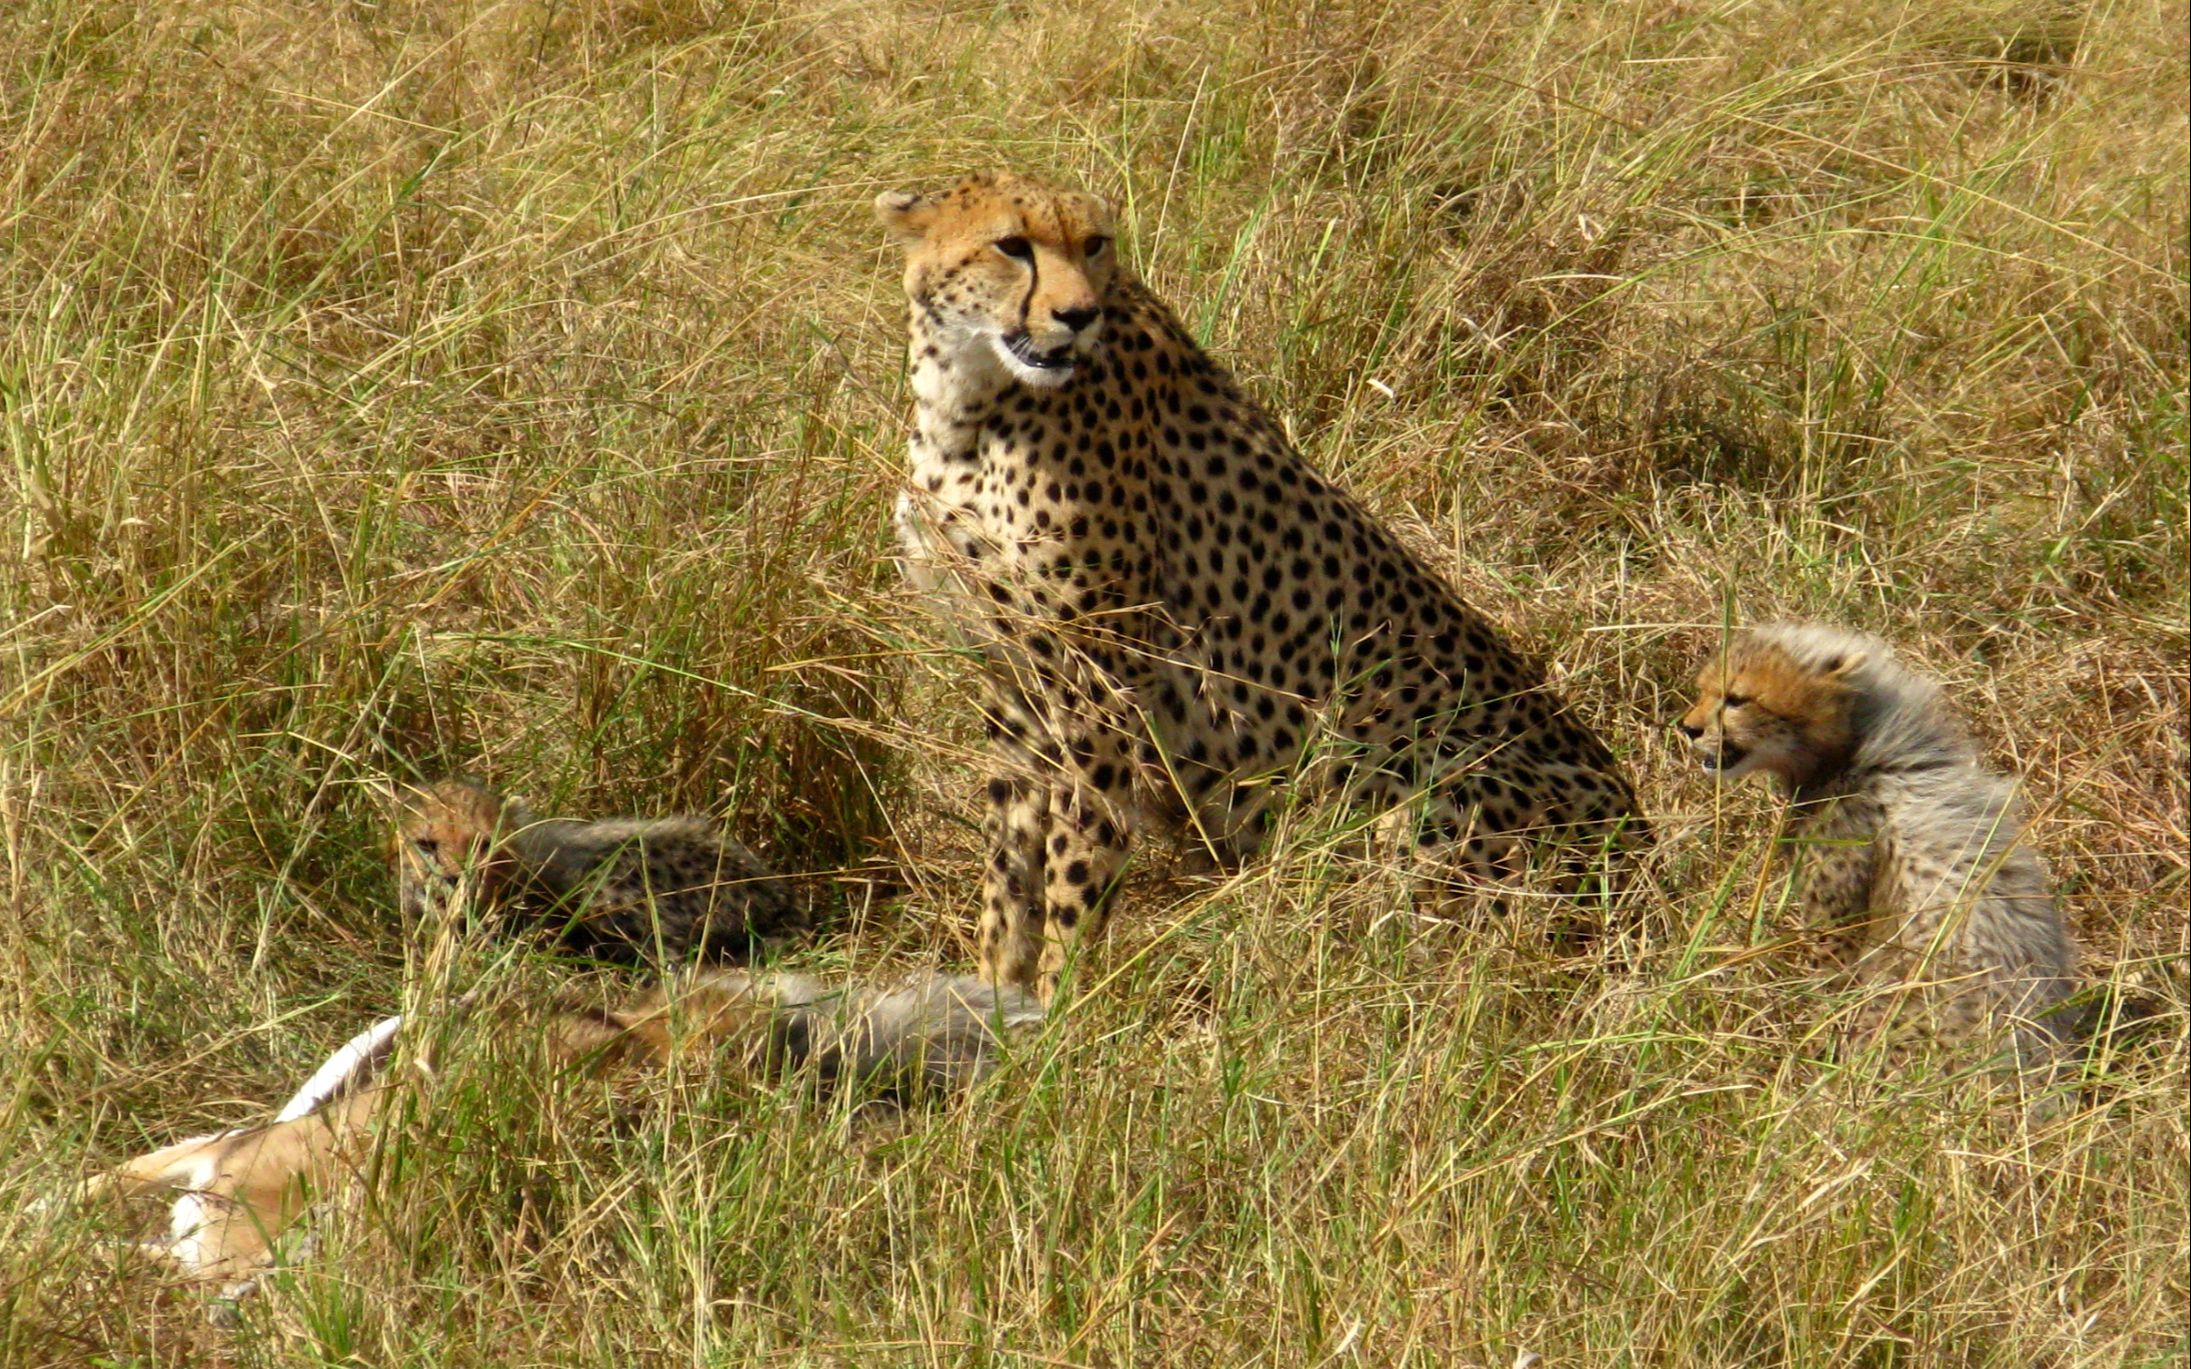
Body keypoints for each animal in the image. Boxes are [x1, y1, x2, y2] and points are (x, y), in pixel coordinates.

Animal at [872, 170, 1647, 994]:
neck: (969, 399)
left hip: (1418, 762)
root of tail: (1646, 850)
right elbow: (1010, 861)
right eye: (1011, 245)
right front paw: (995, 989)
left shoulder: (1101, 690)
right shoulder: (1012, 680)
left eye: (1094, 244)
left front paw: (1061, 1004)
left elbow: (1079, 862)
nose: (1078, 316)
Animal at [1682, 626, 2077, 1073]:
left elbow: (1829, 988)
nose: (1688, 728)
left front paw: (1812, 1053)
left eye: (1736, 699)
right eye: (1704, 691)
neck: (1861, 750)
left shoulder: (1838, 922)